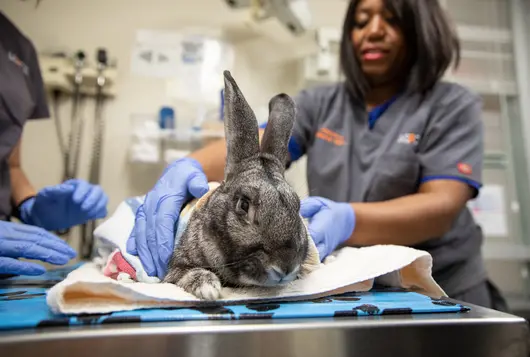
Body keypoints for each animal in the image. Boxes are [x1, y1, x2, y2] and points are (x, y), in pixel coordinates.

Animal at [163, 71, 312, 298]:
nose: (285, 266)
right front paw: (209, 290)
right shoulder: (175, 269)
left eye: (297, 207)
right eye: (243, 205)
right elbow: (187, 273)